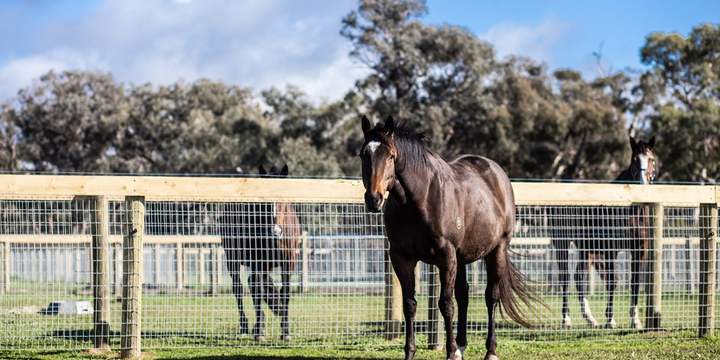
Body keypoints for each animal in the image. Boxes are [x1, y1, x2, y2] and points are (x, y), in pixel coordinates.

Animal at [221, 165, 302, 342]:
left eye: (284, 202)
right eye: (264, 203)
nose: (275, 231)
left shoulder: (289, 262)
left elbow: (285, 292)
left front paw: (285, 331)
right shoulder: (257, 261)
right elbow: (257, 292)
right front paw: (259, 332)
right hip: (233, 259)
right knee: (239, 289)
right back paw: (246, 326)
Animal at [552, 135, 660, 330]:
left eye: (652, 160)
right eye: (634, 160)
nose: (642, 185)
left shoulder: (639, 250)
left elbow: (635, 282)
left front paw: (635, 320)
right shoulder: (611, 250)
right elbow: (612, 281)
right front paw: (610, 320)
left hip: (586, 249)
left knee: (578, 277)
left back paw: (590, 319)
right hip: (562, 243)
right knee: (565, 277)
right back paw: (566, 319)